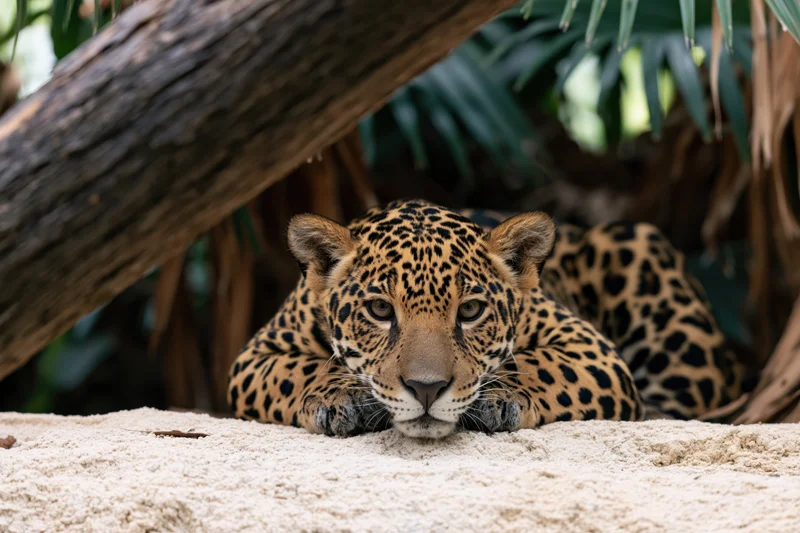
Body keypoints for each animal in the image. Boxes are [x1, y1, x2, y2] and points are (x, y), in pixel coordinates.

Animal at [227, 199, 743, 438]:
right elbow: (301, 370)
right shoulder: (253, 359)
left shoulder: (592, 350)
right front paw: (339, 396)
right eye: (380, 310)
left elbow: (535, 364)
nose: (427, 390)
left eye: (471, 311)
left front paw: (499, 396)